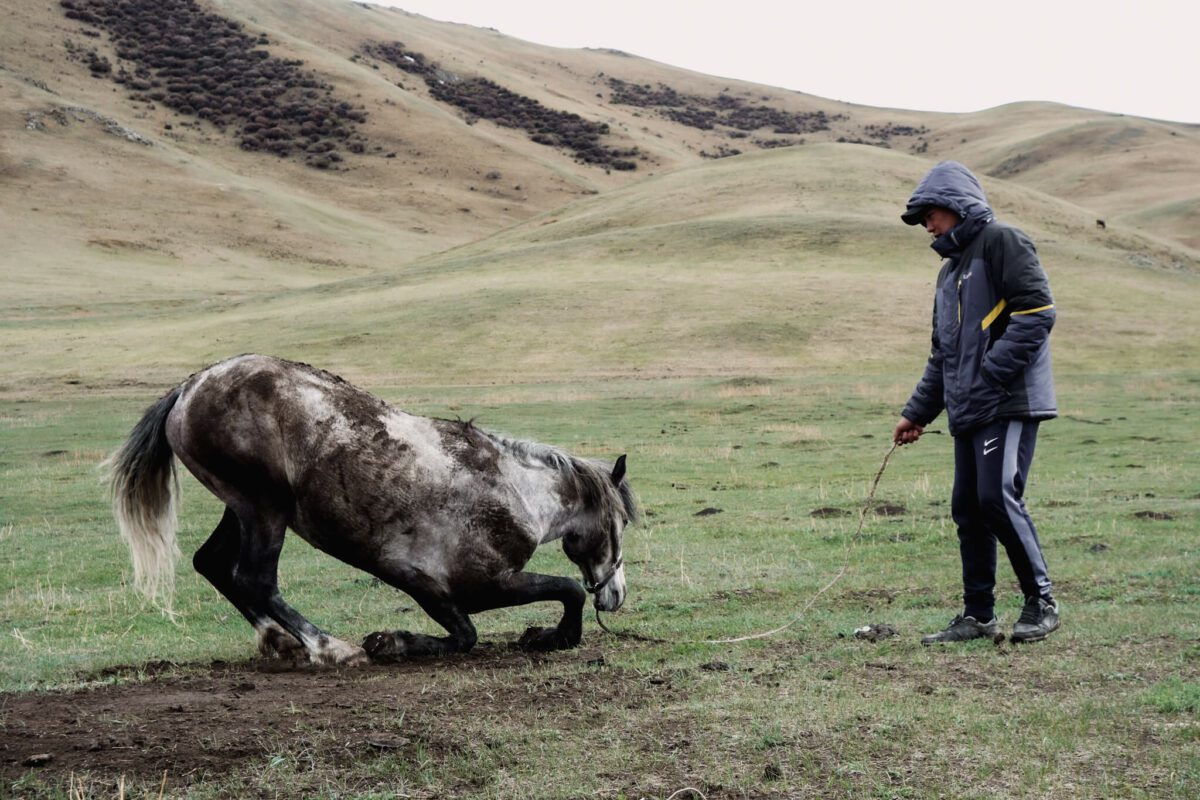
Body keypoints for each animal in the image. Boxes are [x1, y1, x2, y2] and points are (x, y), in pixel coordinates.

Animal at [106, 354, 637, 665]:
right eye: (622, 524)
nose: (616, 593)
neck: (518, 493)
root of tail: (189, 387)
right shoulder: (475, 584)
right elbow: (562, 591)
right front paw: (555, 636)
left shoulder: (431, 588)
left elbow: (469, 631)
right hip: (264, 507)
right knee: (253, 578)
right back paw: (328, 648)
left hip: (239, 506)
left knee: (213, 564)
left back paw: (280, 642)